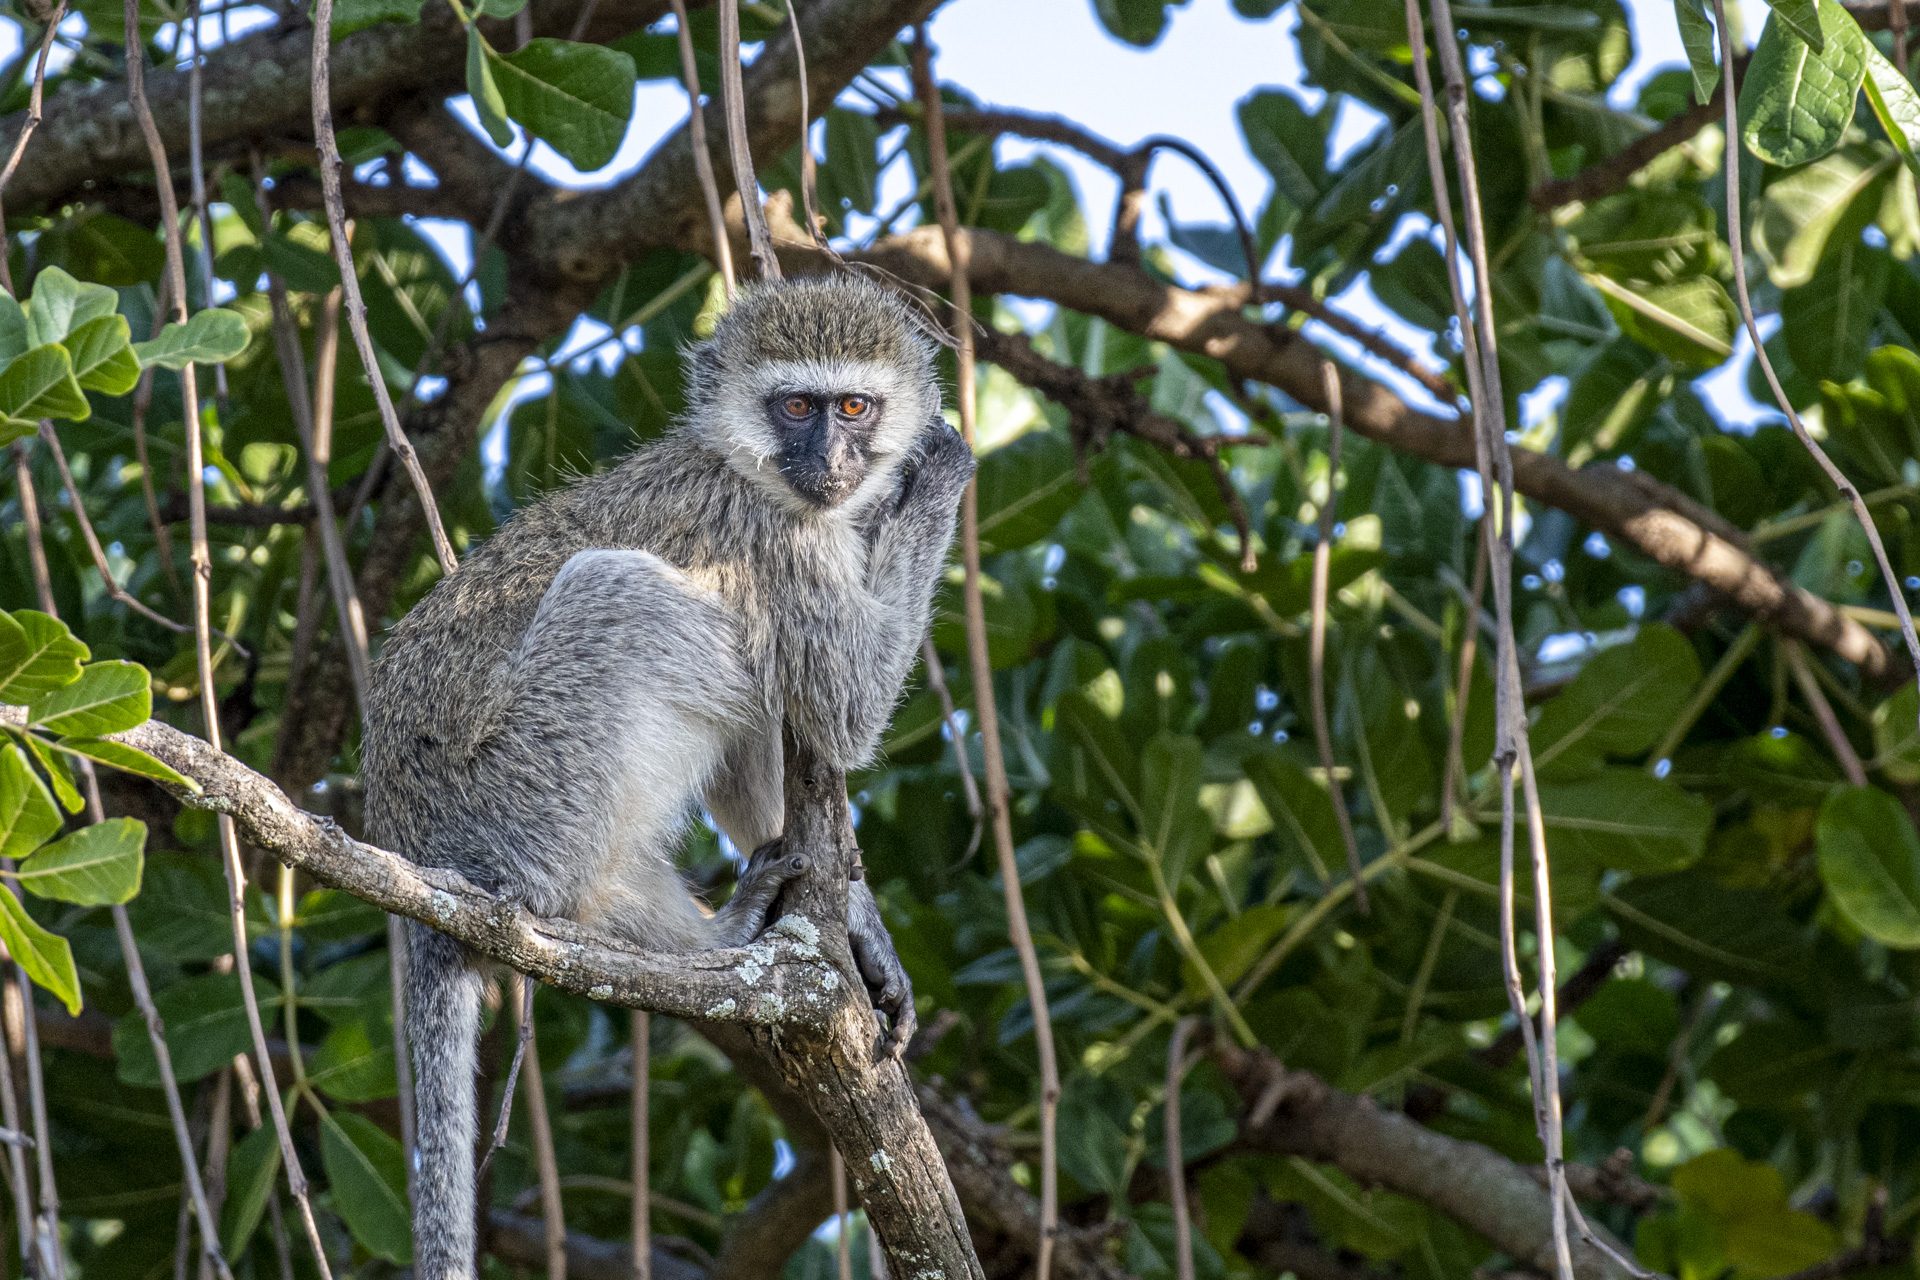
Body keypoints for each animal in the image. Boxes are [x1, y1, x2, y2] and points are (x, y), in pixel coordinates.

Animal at [360, 274, 974, 1280]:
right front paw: (943, 469)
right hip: (523, 799)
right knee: (626, 599)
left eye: (852, 407)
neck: (755, 472)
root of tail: (413, 856)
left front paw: (858, 923)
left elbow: (793, 731)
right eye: (796, 408)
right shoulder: (778, 540)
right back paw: (688, 935)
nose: (831, 459)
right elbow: (843, 710)